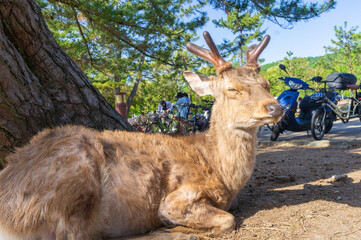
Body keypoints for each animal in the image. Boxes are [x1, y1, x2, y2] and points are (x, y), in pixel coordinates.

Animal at [0, 31, 282, 240]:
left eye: (267, 84)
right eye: (232, 89)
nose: (275, 107)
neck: (223, 173)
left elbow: (232, 209)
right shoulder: (178, 196)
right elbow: (227, 219)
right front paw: (172, 225)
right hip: (72, 175)